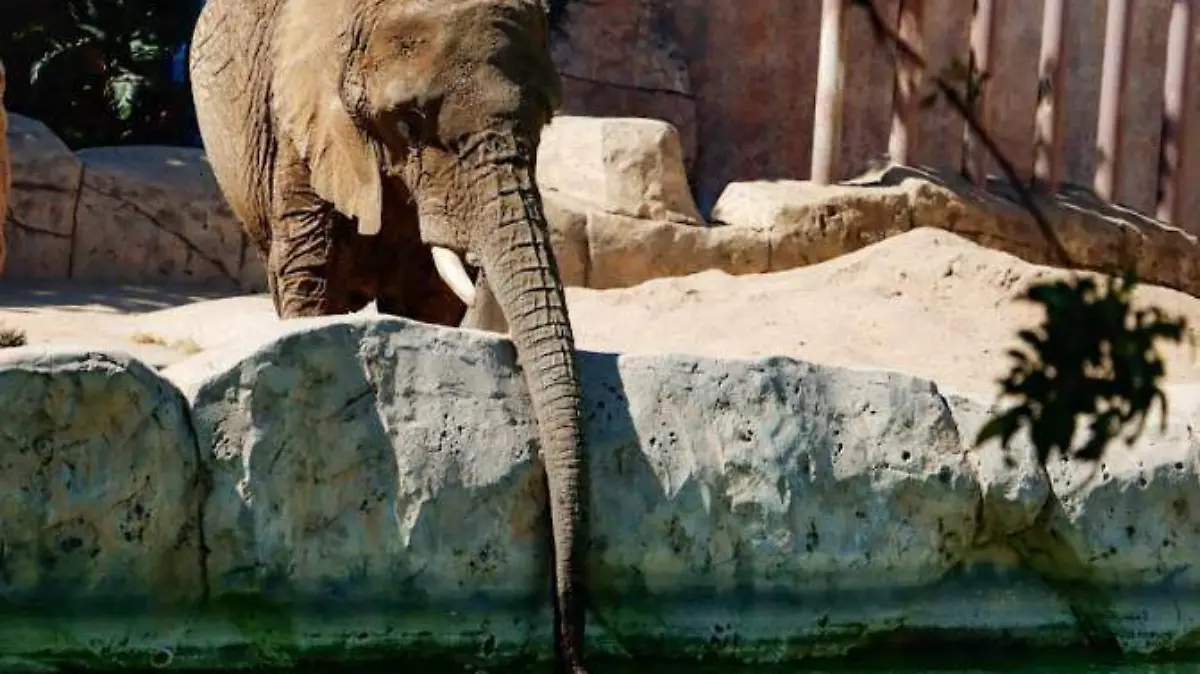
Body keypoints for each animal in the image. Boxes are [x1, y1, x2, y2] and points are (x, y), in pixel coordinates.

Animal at [187, 1, 589, 672]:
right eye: (410, 120)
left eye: (545, 118)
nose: (573, 657)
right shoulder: (302, 123)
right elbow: (310, 274)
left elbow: (428, 297)